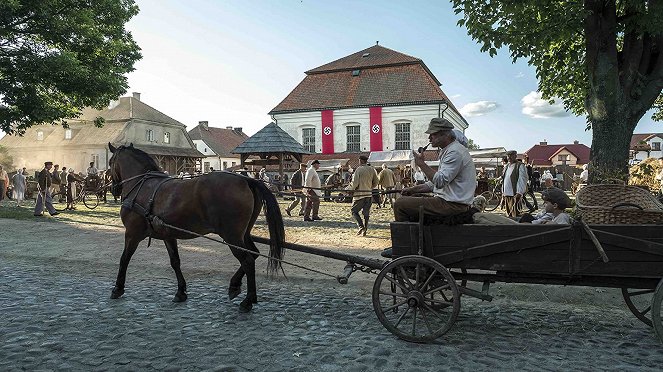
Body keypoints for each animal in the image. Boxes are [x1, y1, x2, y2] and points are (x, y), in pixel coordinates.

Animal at [108, 144, 286, 312]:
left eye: (110, 163)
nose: (113, 188)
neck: (142, 186)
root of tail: (246, 180)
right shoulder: (168, 235)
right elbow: (175, 261)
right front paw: (181, 291)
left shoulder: (132, 234)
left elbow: (124, 259)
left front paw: (118, 288)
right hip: (243, 234)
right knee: (253, 254)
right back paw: (239, 287)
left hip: (232, 236)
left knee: (248, 261)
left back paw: (247, 301)